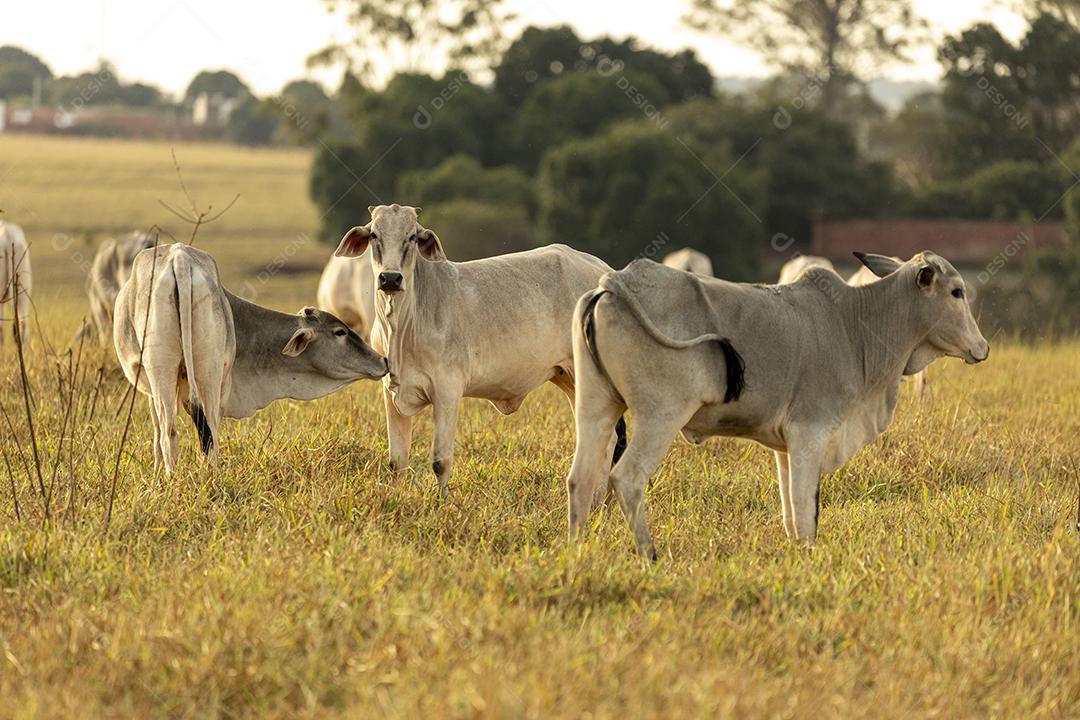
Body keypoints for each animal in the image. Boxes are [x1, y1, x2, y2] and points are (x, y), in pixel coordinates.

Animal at [114, 243, 388, 474]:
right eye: (340, 332)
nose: (382, 360)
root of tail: (179, 259)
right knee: (184, 434)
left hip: (193, 373)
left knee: (182, 434)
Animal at [334, 203, 626, 495]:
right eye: (374, 235)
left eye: (413, 237)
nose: (391, 278)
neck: (402, 325)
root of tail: (603, 271)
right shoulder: (390, 392)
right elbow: (397, 461)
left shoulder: (448, 391)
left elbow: (440, 461)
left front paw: (440, 501)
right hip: (567, 378)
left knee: (608, 439)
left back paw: (597, 497)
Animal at [566, 252, 988, 559]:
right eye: (957, 292)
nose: (982, 347)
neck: (855, 324)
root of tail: (615, 283)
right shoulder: (810, 433)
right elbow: (805, 510)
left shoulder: (785, 446)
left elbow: (791, 514)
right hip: (661, 415)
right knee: (626, 478)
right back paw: (649, 554)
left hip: (595, 408)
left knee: (581, 479)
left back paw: (577, 550)